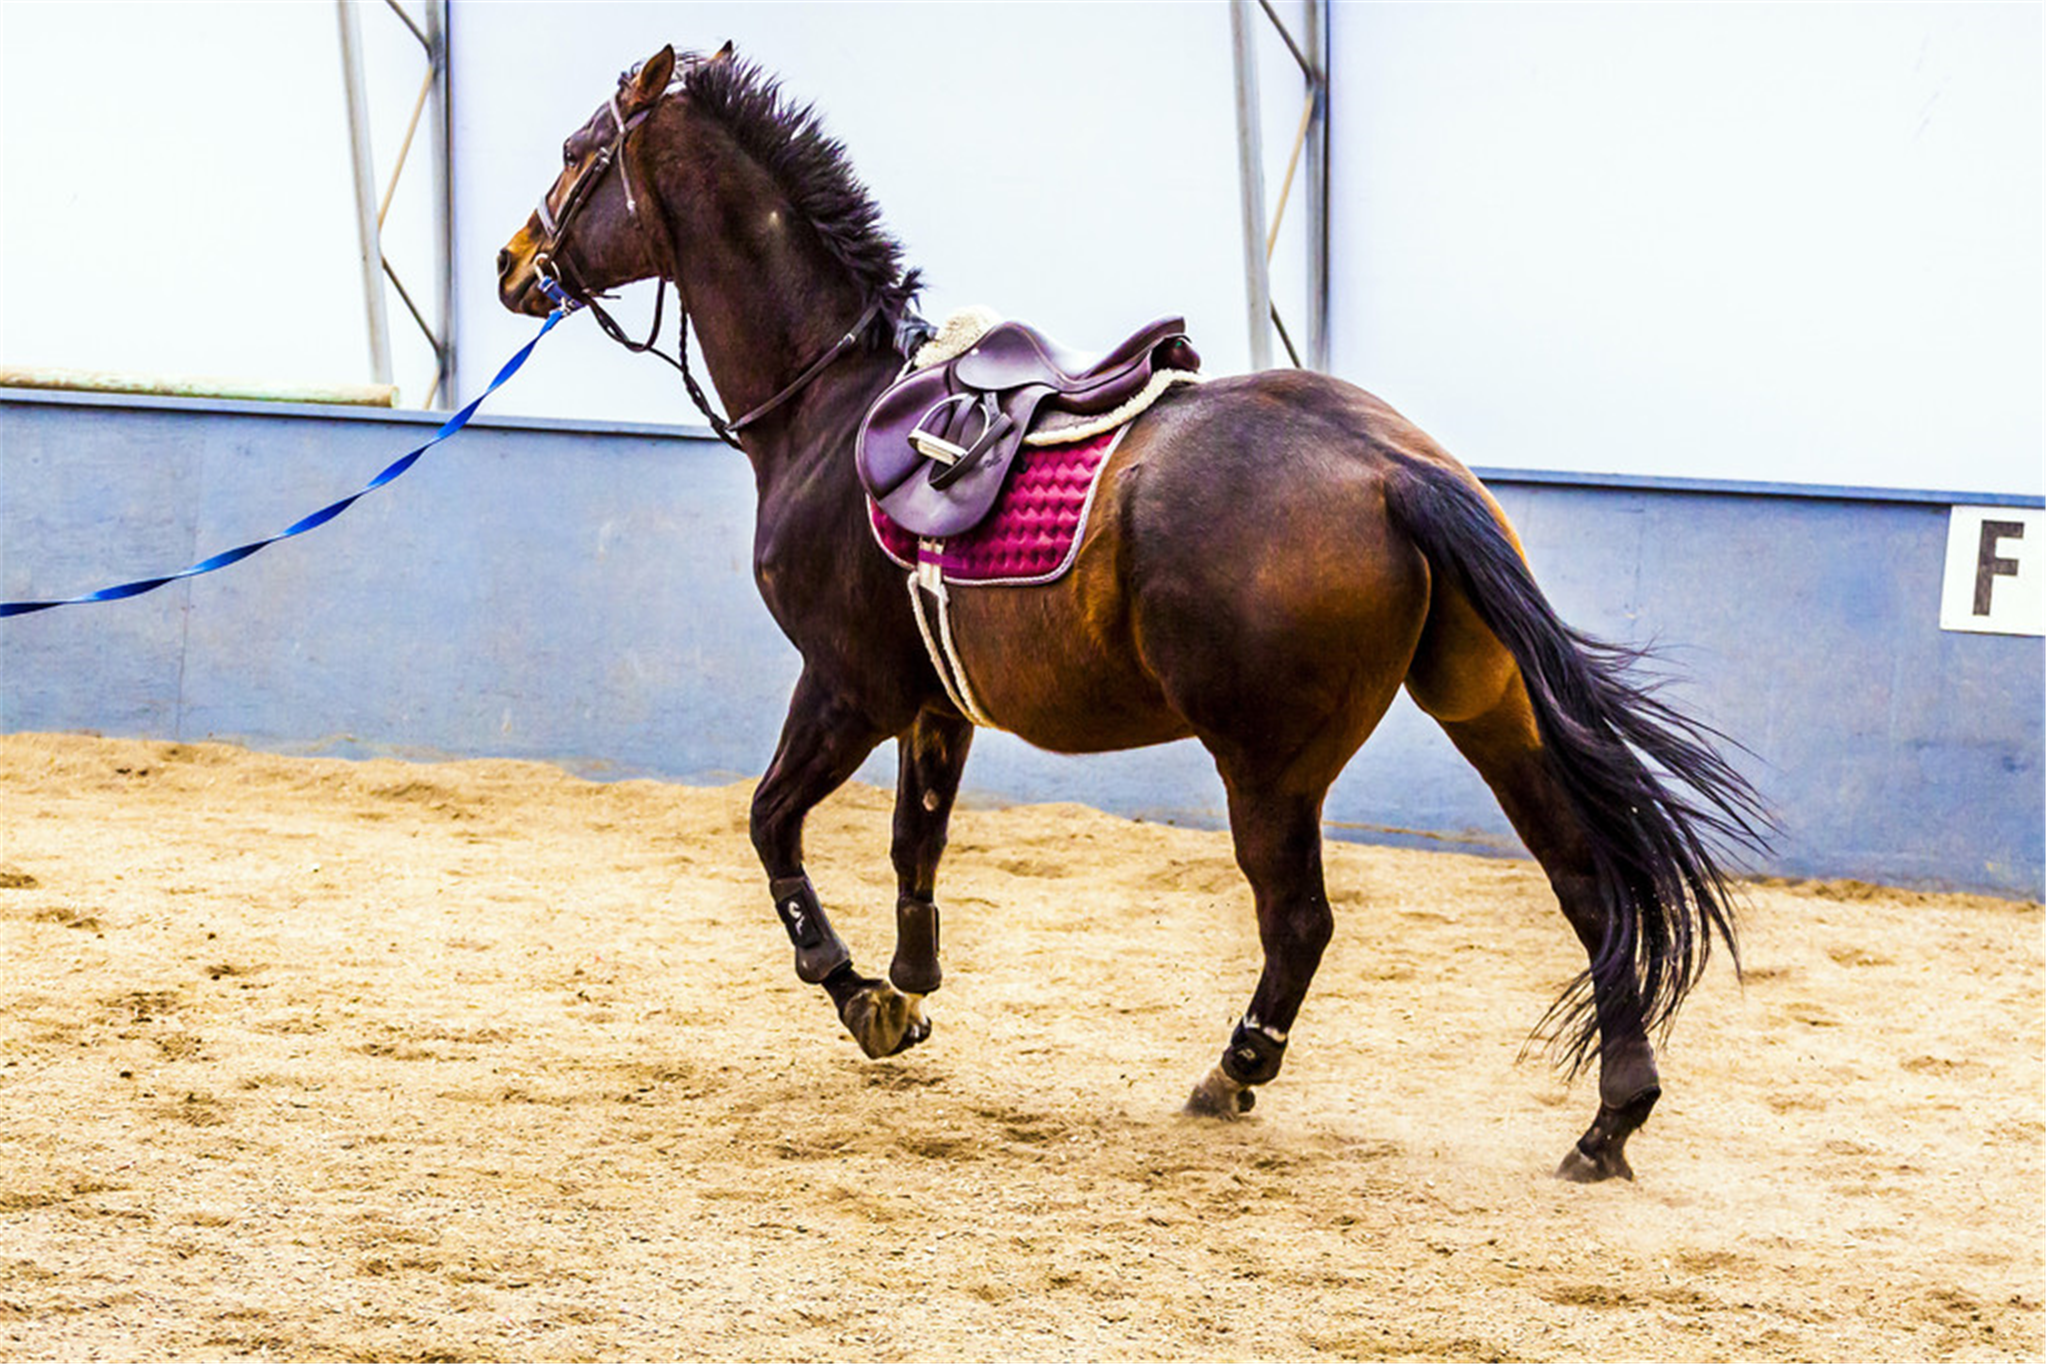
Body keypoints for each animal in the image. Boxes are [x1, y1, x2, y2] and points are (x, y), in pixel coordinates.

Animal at [499, 40, 1775, 1177]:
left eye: (573, 152)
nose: (516, 263)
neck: (831, 407)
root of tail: (1391, 466)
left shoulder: (849, 686)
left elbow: (771, 823)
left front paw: (859, 993)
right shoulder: (933, 707)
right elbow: (917, 840)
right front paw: (909, 988)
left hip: (1268, 764)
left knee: (1301, 920)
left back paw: (1235, 1070)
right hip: (1487, 710)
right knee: (1587, 881)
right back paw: (1611, 1118)